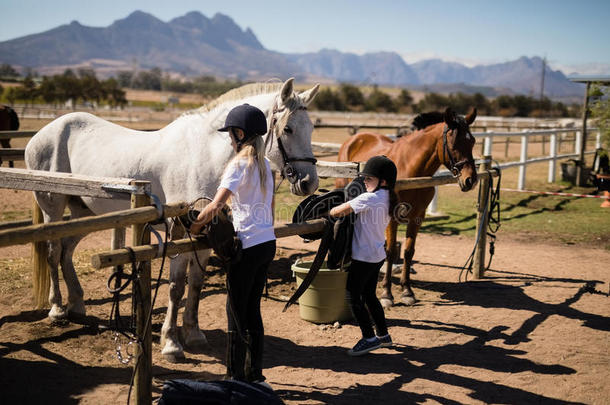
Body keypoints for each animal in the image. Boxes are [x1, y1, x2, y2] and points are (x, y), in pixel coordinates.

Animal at [25, 79, 318, 360]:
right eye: (289, 129)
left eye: (312, 127)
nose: (309, 182)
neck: (204, 155)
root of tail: (43, 134)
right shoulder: (178, 232)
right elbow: (176, 287)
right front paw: (171, 343)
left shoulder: (207, 234)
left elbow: (196, 283)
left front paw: (193, 333)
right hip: (53, 208)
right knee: (53, 252)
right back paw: (57, 309)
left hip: (84, 213)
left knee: (66, 250)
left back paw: (77, 304)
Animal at [334, 107, 478, 306]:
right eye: (453, 143)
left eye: (472, 141)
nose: (470, 180)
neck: (411, 171)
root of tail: (356, 139)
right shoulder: (391, 218)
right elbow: (389, 251)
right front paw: (387, 294)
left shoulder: (417, 218)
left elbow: (409, 251)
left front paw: (407, 291)